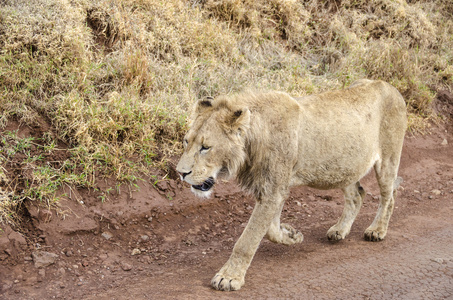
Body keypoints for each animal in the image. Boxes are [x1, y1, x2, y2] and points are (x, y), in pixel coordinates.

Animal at [176, 79, 406, 290]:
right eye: (187, 141)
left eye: (205, 147)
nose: (180, 173)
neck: (253, 141)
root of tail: (390, 87)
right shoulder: (273, 188)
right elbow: (270, 230)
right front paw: (292, 235)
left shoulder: (273, 190)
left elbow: (248, 239)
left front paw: (229, 278)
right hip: (345, 166)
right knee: (357, 195)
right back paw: (340, 230)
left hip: (388, 159)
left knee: (390, 194)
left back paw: (377, 230)